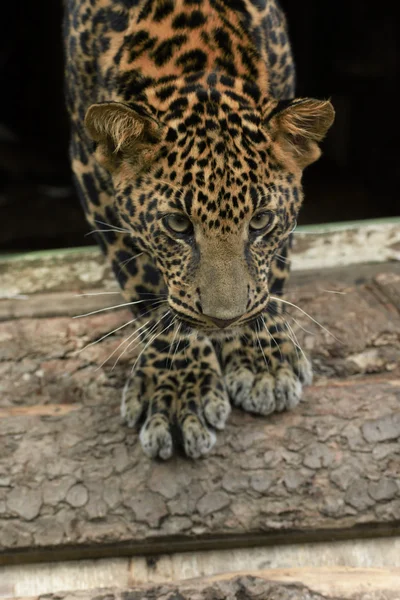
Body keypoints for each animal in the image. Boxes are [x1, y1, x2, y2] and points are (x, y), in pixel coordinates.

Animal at [65, 0, 334, 460]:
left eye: (260, 221)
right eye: (177, 225)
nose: (225, 321)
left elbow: (271, 272)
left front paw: (264, 358)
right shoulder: (88, 165)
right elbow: (147, 287)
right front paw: (176, 389)